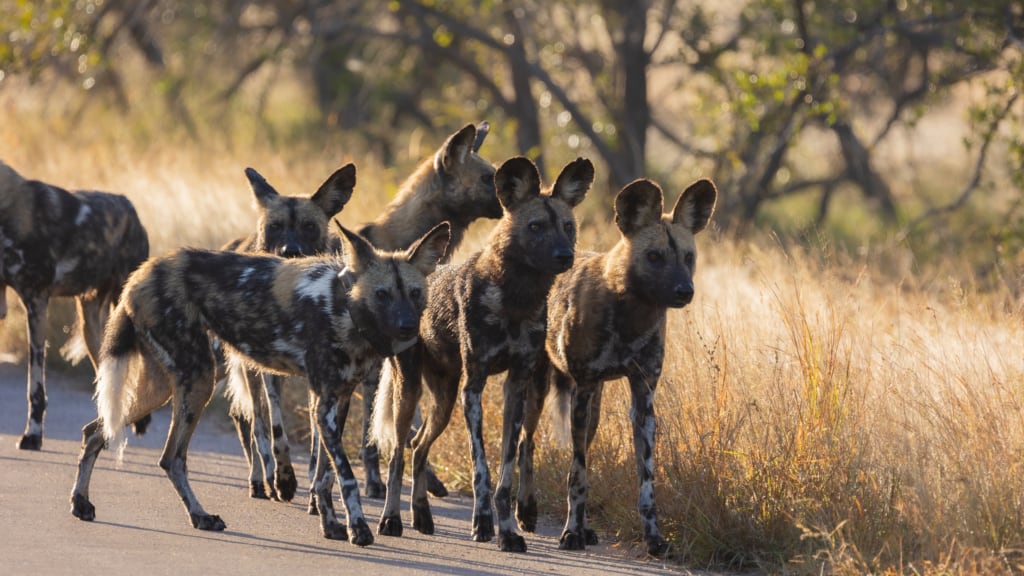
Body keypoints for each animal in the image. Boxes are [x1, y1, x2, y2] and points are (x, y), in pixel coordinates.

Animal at [220, 162, 356, 502]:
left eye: (308, 226)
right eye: (275, 227)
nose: (289, 250)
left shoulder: (321, 377)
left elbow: (320, 439)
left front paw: (318, 490)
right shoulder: (270, 374)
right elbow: (276, 430)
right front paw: (284, 479)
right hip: (250, 370)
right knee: (254, 423)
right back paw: (262, 479)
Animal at [370, 154, 593, 549]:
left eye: (568, 226)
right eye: (536, 226)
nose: (565, 255)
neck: (516, 299)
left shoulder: (515, 385)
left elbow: (506, 469)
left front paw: (508, 530)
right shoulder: (473, 387)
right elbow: (482, 469)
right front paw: (483, 523)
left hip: (444, 398)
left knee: (418, 445)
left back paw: (422, 515)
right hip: (410, 390)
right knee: (397, 454)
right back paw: (391, 519)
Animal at [516, 177, 716, 553]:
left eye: (688, 257)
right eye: (654, 256)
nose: (685, 291)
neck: (631, 314)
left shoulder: (643, 399)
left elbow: (645, 483)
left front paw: (654, 538)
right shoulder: (583, 387)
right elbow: (577, 476)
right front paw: (570, 533)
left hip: (592, 406)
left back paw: (585, 528)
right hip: (541, 389)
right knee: (526, 443)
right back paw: (526, 513)